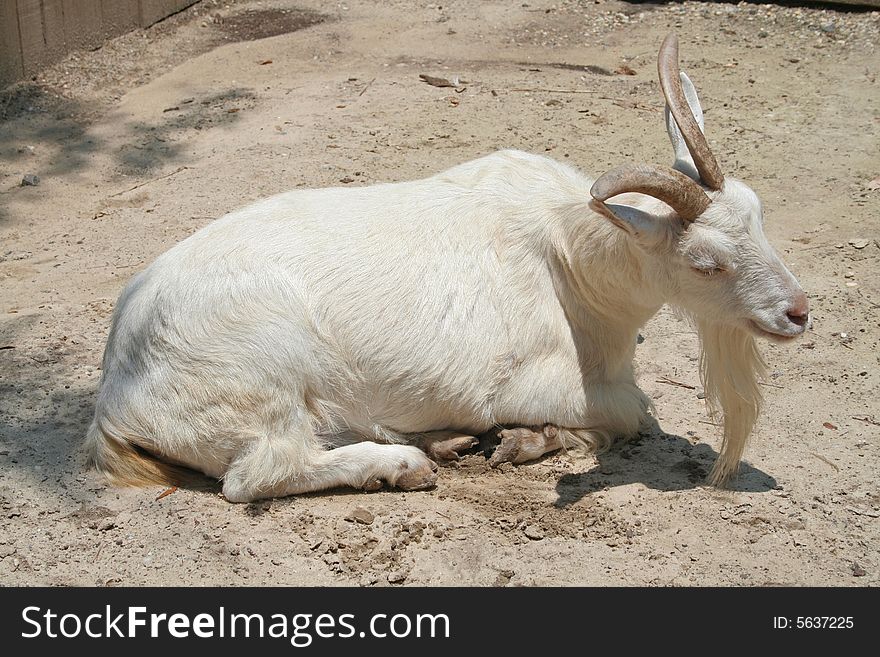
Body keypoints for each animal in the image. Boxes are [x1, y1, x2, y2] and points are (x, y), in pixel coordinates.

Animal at [86, 34, 808, 502]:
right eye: (705, 262)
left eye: (759, 214)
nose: (797, 312)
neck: (572, 261)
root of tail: (117, 387)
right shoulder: (526, 381)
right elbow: (636, 412)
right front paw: (529, 440)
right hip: (261, 377)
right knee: (257, 474)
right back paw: (401, 463)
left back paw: (441, 443)